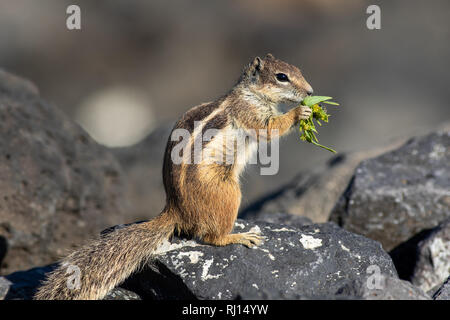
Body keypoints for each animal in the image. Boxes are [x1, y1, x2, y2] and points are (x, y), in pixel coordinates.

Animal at [34, 53, 312, 300]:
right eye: (282, 76)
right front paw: (300, 113)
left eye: (298, 69)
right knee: (212, 237)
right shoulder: (249, 112)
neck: (250, 93)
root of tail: (176, 210)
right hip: (228, 192)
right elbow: (269, 129)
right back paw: (238, 236)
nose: (310, 92)